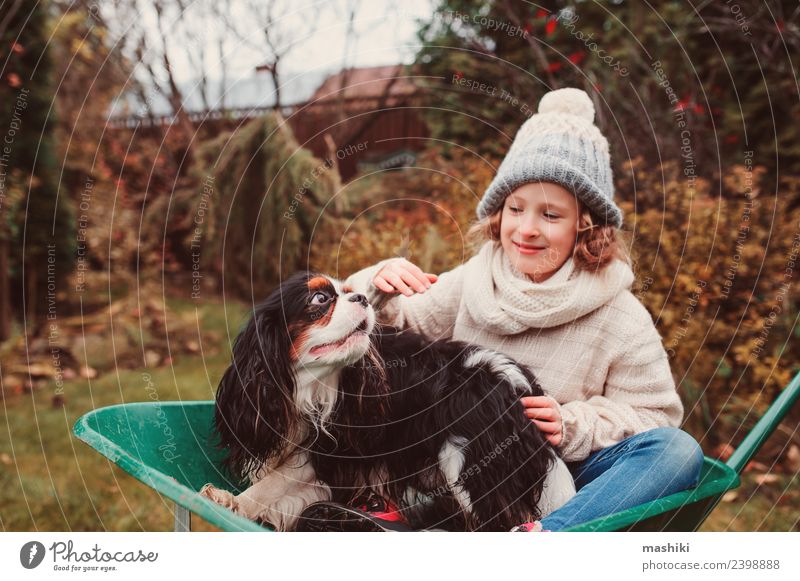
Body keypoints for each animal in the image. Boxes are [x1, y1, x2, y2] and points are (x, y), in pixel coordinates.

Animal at [200, 272, 576, 532]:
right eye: (320, 298)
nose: (363, 297)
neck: (307, 387)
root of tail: (520, 384)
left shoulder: (333, 448)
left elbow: (275, 483)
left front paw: (233, 503)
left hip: (467, 457)